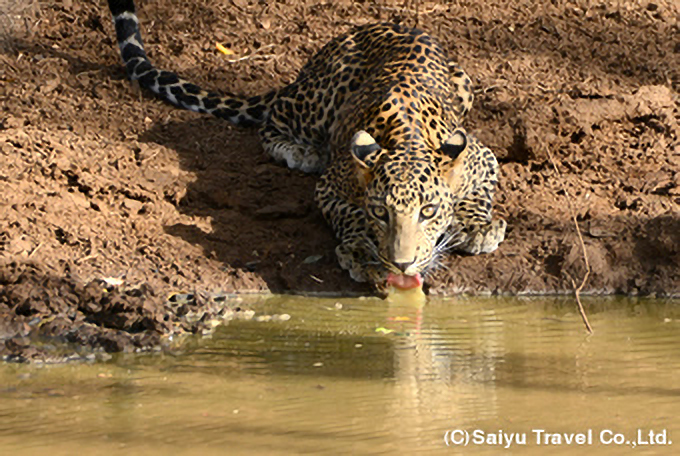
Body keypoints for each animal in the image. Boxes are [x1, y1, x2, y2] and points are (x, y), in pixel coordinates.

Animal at [106, 0, 504, 290]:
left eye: (429, 211)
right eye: (380, 212)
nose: (401, 263)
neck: (406, 141)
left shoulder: (482, 157)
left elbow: (476, 195)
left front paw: (477, 227)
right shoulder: (330, 186)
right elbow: (349, 214)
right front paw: (359, 250)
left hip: (464, 82)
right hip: (322, 96)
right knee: (274, 118)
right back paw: (300, 151)